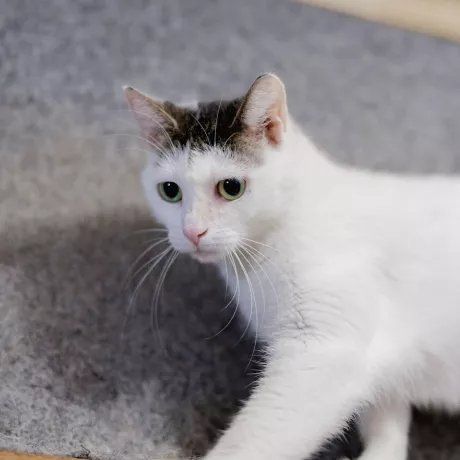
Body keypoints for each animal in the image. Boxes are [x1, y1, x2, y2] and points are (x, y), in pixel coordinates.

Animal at [124, 73, 460, 460]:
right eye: (170, 190)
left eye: (231, 187)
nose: (192, 231)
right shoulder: (379, 369)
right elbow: (388, 427)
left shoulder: (323, 351)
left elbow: (248, 445)